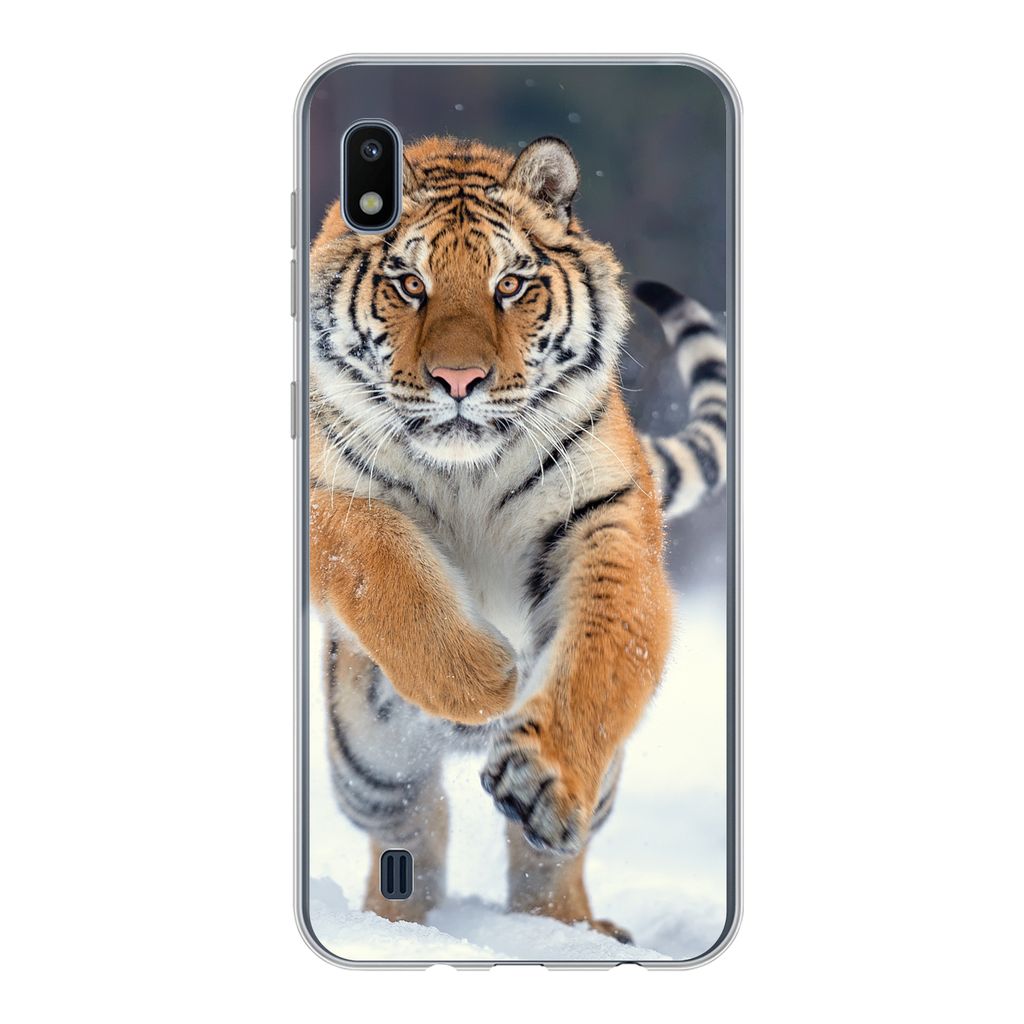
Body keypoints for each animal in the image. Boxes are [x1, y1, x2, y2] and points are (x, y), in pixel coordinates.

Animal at [308, 136, 727, 944]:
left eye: (510, 285)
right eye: (409, 283)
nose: (459, 379)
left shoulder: (607, 518)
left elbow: (602, 655)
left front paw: (543, 774)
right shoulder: (328, 497)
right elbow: (385, 571)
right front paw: (487, 677)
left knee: (545, 858)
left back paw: (568, 930)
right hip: (367, 762)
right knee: (414, 824)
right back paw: (393, 924)